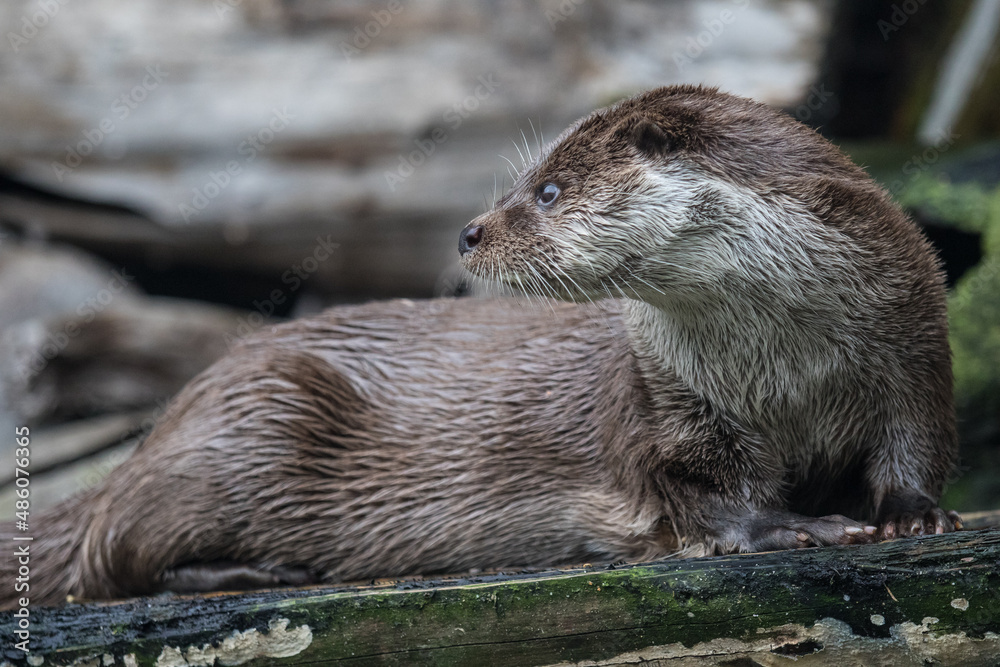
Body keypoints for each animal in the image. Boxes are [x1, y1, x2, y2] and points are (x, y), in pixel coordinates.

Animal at [1, 86, 960, 608]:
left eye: (551, 188)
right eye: (523, 182)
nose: (468, 230)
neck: (788, 366)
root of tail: (163, 424)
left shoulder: (911, 344)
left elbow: (914, 441)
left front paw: (913, 512)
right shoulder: (670, 401)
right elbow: (702, 494)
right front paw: (791, 526)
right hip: (255, 414)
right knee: (113, 553)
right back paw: (257, 568)